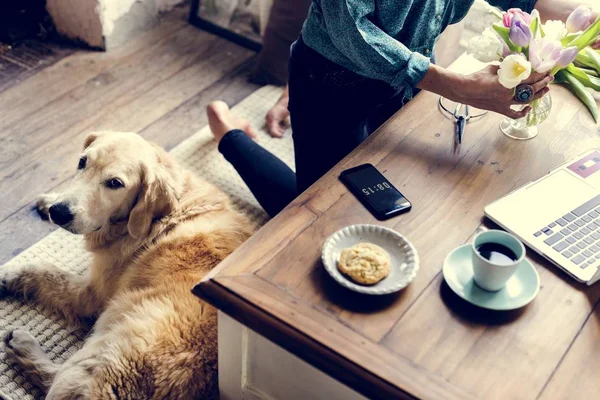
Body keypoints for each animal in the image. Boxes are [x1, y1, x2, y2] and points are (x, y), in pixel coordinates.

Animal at [0, 131, 254, 396]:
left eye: (114, 184)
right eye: (82, 162)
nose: (59, 212)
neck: (158, 219)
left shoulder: (90, 295)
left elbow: (44, 270)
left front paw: (7, 272)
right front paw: (50, 200)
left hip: (105, 350)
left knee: (56, 381)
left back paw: (21, 345)